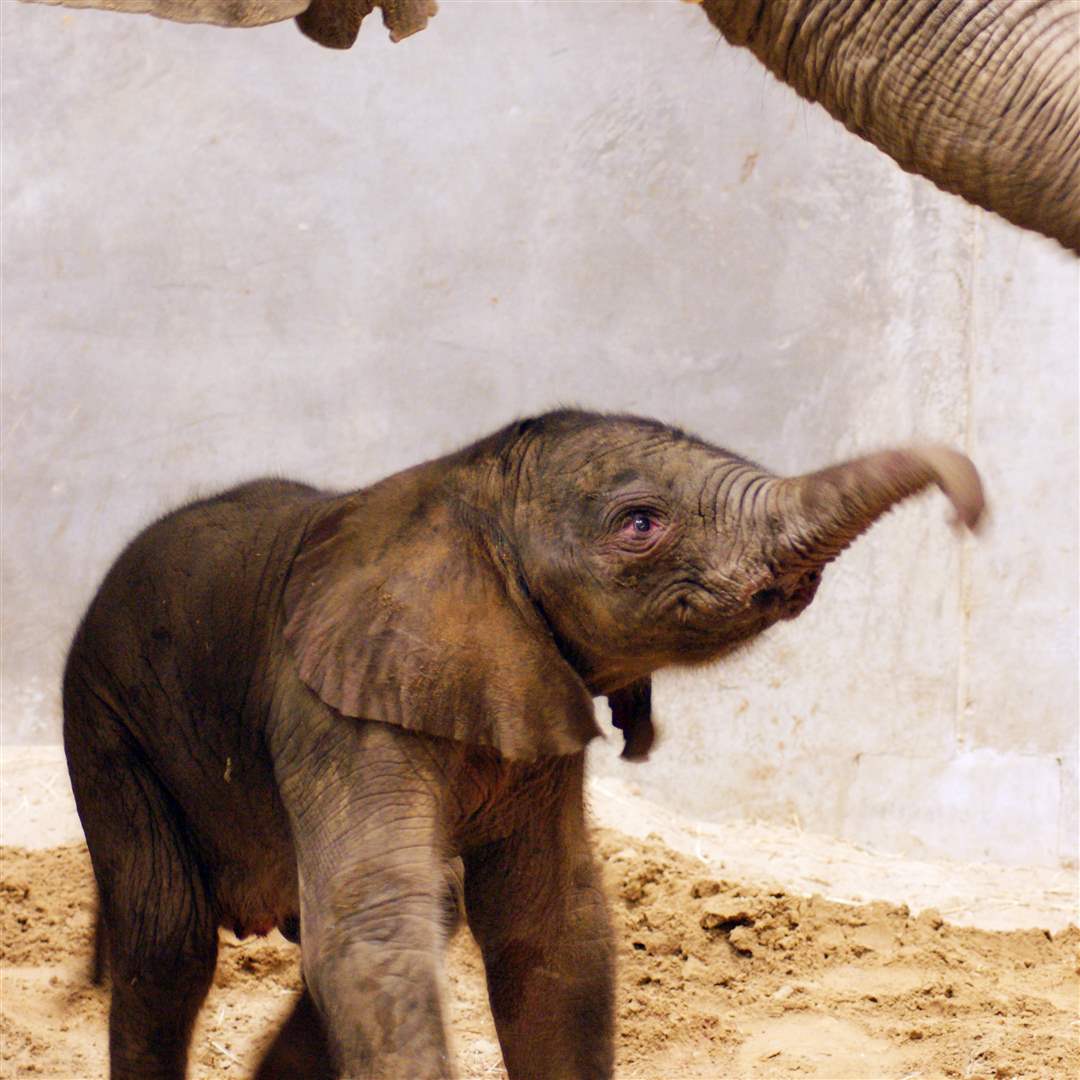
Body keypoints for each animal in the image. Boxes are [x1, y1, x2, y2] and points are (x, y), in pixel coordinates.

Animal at [63, 406, 984, 1080]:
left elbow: (554, 930)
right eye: (639, 523)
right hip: (105, 727)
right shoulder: (330, 711)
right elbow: (374, 929)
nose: (969, 513)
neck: (459, 487)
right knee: (169, 939)